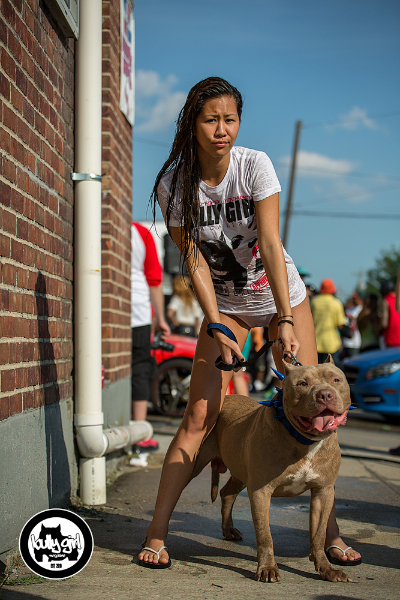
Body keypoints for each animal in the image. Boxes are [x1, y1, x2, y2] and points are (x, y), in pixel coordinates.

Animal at [189, 356, 352, 580]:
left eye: (336, 379)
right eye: (302, 383)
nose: (325, 394)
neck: (305, 441)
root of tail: (227, 398)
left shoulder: (323, 491)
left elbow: (319, 534)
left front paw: (326, 568)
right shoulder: (261, 491)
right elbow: (265, 535)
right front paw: (267, 568)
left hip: (240, 472)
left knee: (227, 493)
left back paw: (228, 530)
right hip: (196, 463)